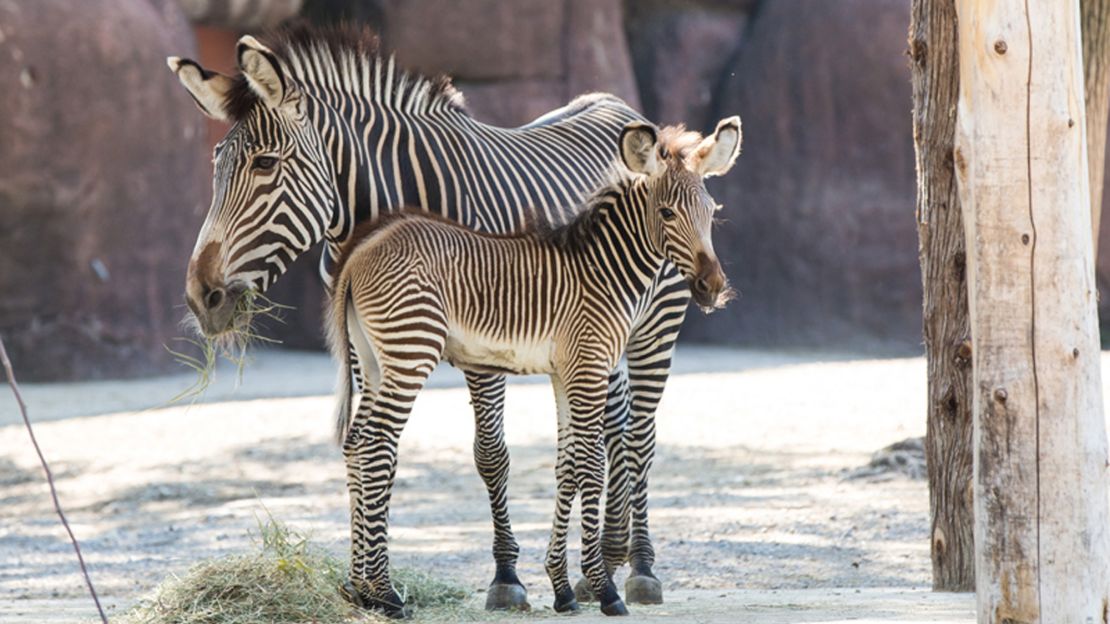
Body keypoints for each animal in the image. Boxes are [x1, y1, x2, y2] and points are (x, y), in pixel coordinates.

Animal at [166, 25, 683, 612]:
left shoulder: (484, 340)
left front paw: (506, 577)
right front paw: (367, 583)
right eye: (216, 166)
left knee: (640, 433)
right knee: (613, 426)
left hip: (655, 325)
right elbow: (376, 450)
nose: (200, 297)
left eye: (265, 165)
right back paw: (607, 561)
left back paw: (640, 567)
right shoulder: (366, 345)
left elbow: (489, 455)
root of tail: (616, 104)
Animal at [328, 115, 745, 612]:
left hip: (374, 360)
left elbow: (568, 466)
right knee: (377, 445)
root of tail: (362, 249)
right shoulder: (590, 366)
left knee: (357, 443)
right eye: (666, 214)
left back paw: (360, 589)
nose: (711, 288)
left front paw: (562, 589)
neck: (605, 269)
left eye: (712, 211)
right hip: (411, 349)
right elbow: (591, 464)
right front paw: (603, 590)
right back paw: (386, 593)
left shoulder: (566, 373)